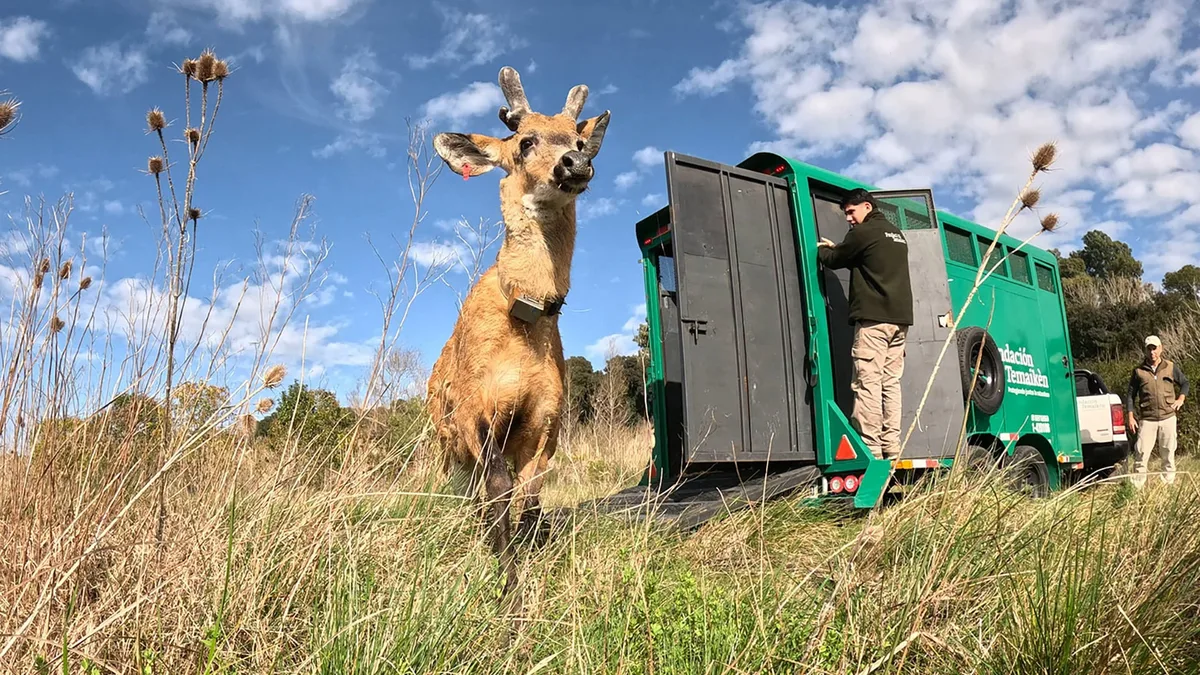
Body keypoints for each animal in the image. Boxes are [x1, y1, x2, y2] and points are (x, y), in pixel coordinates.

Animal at [425, 65, 611, 601]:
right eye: (526, 142)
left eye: (579, 140)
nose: (575, 163)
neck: (523, 316)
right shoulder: (476, 408)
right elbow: (498, 493)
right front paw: (508, 585)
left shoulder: (545, 422)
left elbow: (528, 497)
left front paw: (527, 564)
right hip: (442, 441)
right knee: (463, 489)